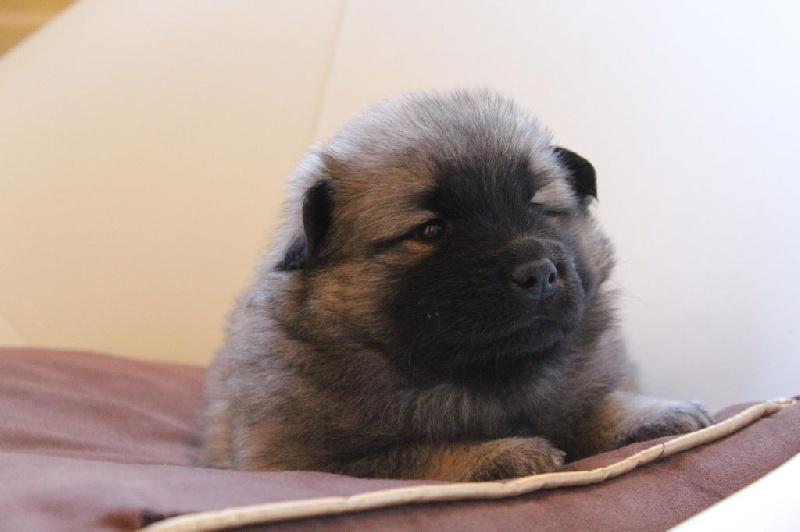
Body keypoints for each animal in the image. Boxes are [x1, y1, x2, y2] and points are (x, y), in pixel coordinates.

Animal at [198, 90, 712, 481]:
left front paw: (656, 413)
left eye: (538, 206)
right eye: (430, 230)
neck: (483, 377)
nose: (539, 273)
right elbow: (410, 454)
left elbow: (594, 405)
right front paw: (502, 452)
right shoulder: (296, 460)